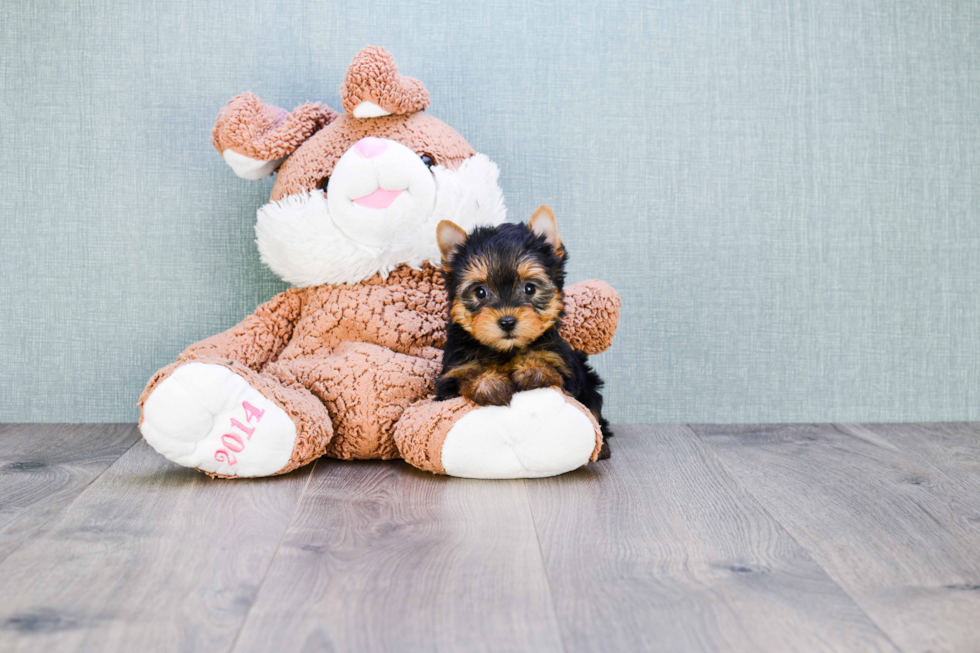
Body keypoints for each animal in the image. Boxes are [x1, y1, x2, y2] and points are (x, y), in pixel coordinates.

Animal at [432, 206, 608, 456]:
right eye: (480, 292)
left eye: (530, 288)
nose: (507, 322)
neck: (506, 350)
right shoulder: (450, 378)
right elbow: (467, 376)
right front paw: (490, 384)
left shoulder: (565, 369)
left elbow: (552, 371)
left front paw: (530, 370)